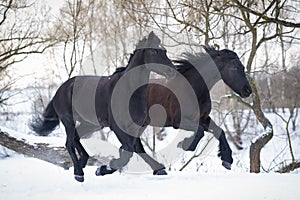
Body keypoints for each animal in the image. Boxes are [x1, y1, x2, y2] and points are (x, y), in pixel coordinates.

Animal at [30, 31, 176, 183]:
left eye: (165, 51)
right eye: (154, 52)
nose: (172, 71)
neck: (130, 90)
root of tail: (61, 89)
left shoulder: (135, 127)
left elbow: (136, 148)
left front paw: (159, 169)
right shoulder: (117, 127)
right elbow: (129, 151)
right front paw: (103, 169)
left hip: (90, 123)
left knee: (76, 138)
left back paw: (82, 163)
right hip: (68, 120)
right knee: (69, 143)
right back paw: (78, 173)